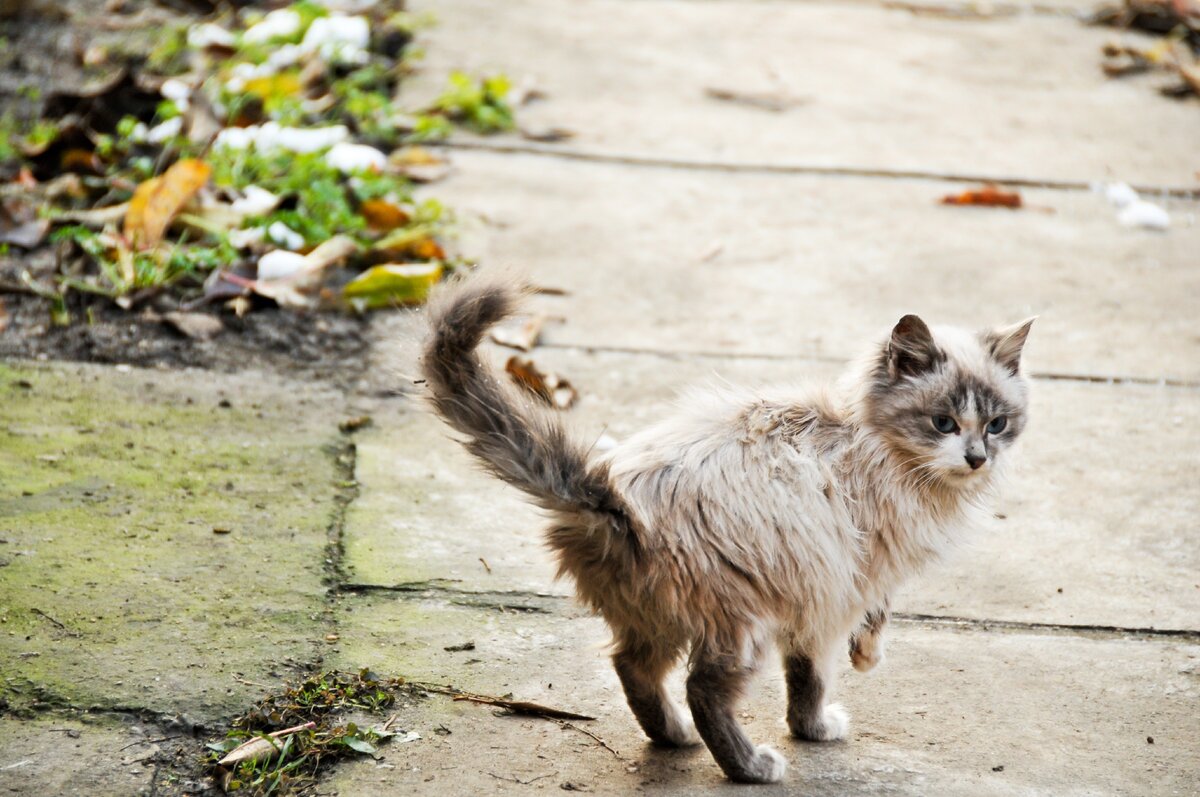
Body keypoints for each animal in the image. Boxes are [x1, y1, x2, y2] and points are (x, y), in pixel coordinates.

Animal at [420, 273, 1032, 782]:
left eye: (998, 424)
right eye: (943, 423)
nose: (977, 457)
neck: (867, 440)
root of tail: (612, 498)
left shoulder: (819, 591)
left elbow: (804, 675)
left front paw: (814, 722)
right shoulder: (848, 579)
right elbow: (829, 662)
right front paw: (842, 694)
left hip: (654, 618)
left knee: (633, 669)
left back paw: (673, 738)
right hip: (741, 625)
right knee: (703, 692)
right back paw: (749, 767)